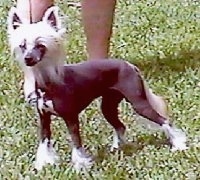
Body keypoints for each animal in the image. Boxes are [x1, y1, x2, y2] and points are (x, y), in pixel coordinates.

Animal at [7, 6, 187, 171]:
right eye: (22, 46)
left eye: (40, 45)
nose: (28, 58)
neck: (49, 84)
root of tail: (129, 65)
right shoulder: (44, 119)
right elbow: (45, 142)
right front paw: (44, 164)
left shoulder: (71, 119)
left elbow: (76, 143)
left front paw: (80, 166)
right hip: (108, 106)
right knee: (120, 126)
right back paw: (116, 149)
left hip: (139, 104)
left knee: (164, 121)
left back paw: (179, 145)